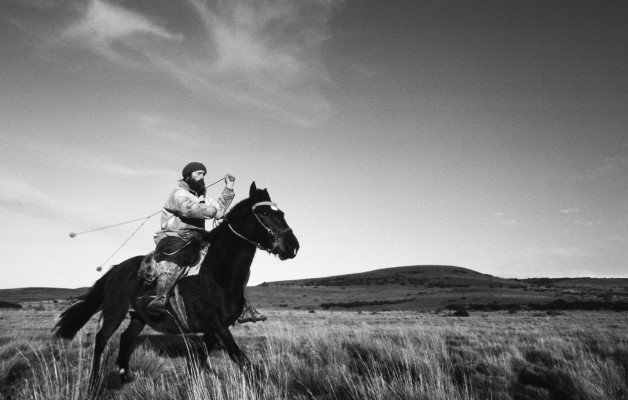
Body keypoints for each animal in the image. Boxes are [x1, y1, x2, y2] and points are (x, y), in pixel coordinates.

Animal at [54, 182, 300, 388]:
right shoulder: (218, 326)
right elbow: (243, 363)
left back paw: (123, 376)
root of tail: (116, 270)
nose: (292, 246)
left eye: (282, 213)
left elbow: (199, 363)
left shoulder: (214, 330)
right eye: (265, 213)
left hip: (139, 317)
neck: (217, 274)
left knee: (126, 338)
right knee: (101, 339)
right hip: (115, 312)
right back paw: (94, 380)